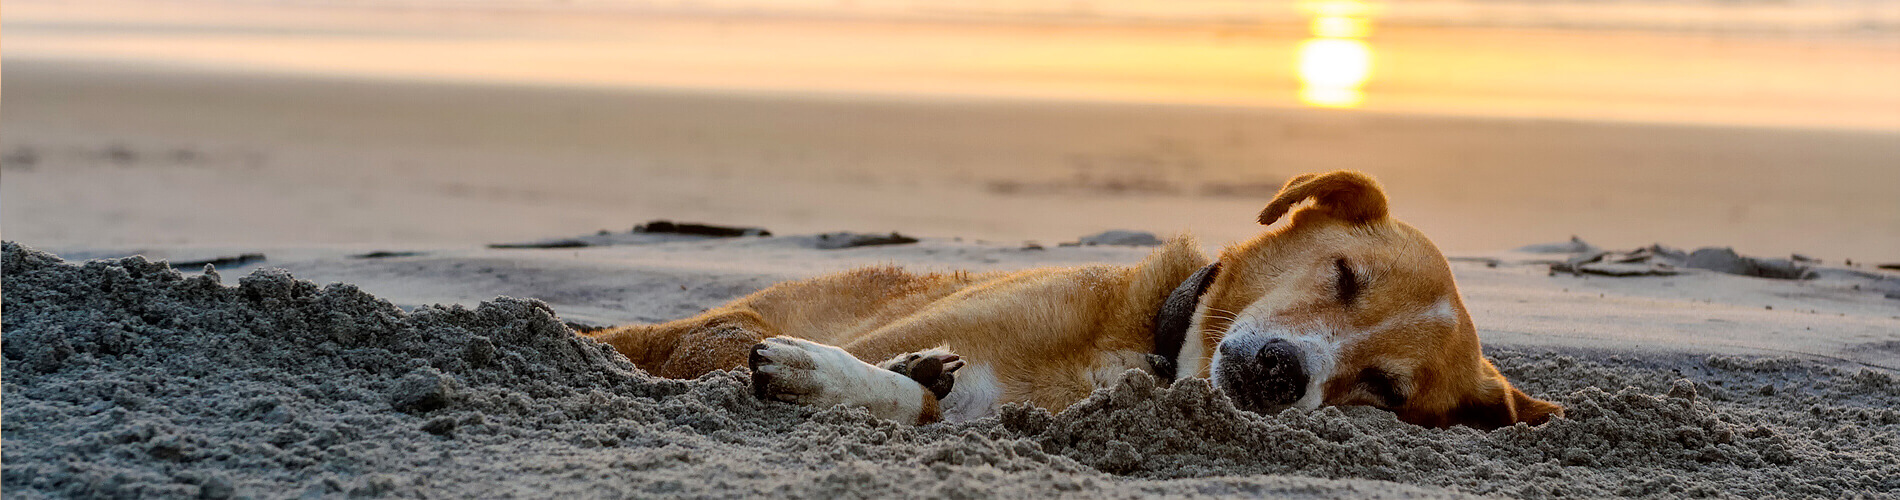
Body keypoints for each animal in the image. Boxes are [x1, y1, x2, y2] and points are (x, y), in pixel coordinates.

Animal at [589, 170, 1558, 429]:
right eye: (1345, 276)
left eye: (1385, 390)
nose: (1283, 374)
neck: (1146, 347)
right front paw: (833, 373)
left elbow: (930, 400)